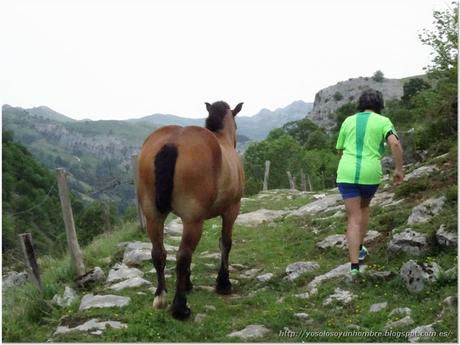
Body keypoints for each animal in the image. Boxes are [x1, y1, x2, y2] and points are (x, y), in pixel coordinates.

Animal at [137, 101, 244, 318]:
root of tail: (172, 143)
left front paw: (187, 283)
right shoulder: (231, 210)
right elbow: (225, 243)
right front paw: (223, 283)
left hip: (154, 216)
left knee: (159, 253)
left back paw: (161, 297)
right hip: (194, 220)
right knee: (183, 256)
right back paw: (180, 307)